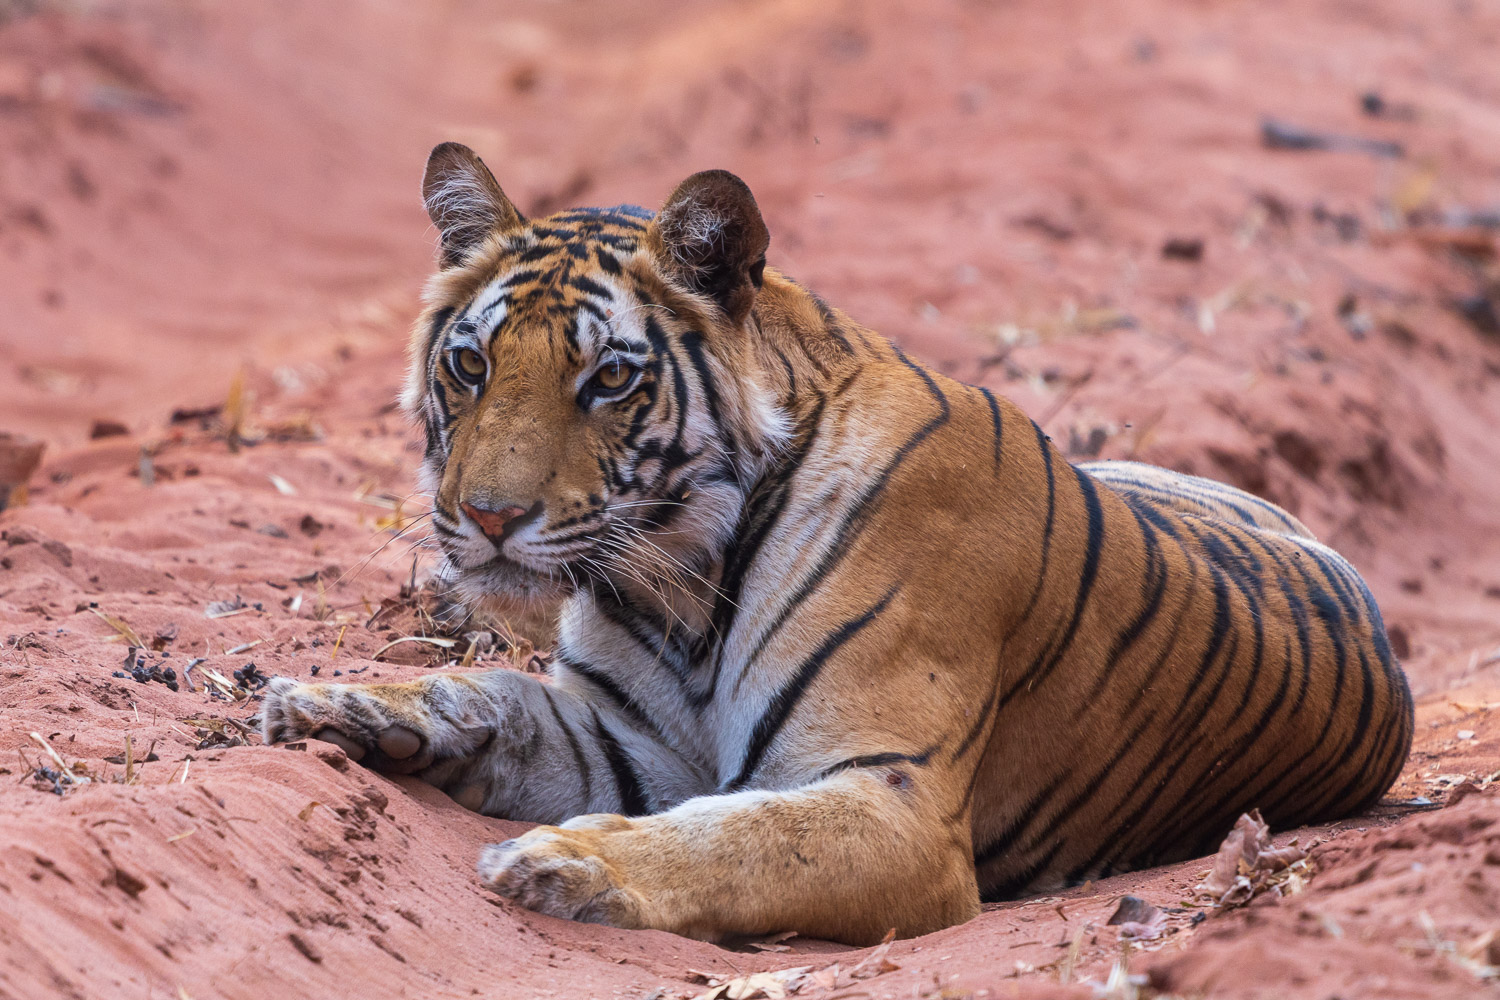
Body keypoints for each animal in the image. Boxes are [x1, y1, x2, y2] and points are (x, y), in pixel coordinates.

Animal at [261, 142, 1414, 946]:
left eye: (611, 378)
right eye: (471, 365)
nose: (488, 517)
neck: (683, 584)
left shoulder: (894, 802)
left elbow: (744, 834)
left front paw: (563, 864)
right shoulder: (628, 741)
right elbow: (492, 694)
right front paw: (338, 703)